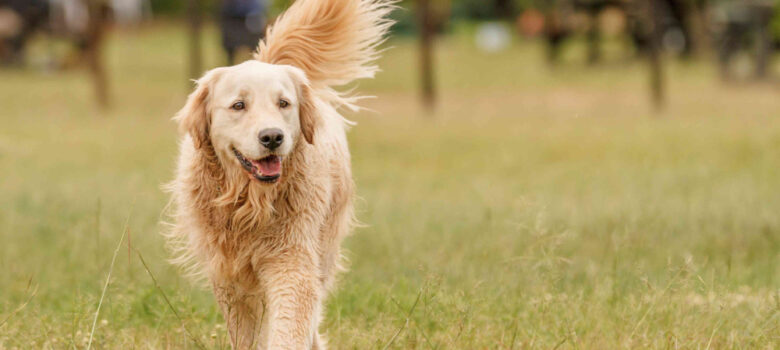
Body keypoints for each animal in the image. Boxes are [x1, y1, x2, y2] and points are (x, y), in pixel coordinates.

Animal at [165, 1, 396, 348]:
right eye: (239, 105)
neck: (251, 203)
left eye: (284, 103)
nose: (272, 136)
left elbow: (291, 324)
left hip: (324, 247)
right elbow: (246, 333)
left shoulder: (292, 262)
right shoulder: (228, 274)